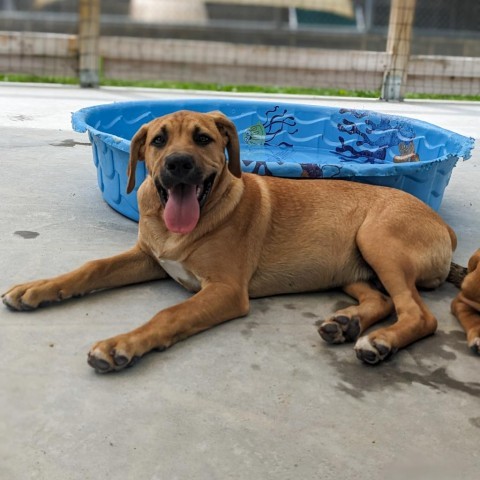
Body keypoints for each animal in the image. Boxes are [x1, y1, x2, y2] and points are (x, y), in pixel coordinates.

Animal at [0, 110, 468, 374]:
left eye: (204, 139)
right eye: (158, 141)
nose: (178, 164)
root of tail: (444, 227)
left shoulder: (225, 290)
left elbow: (169, 314)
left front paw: (122, 345)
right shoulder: (148, 257)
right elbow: (91, 267)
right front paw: (36, 289)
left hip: (379, 240)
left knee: (419, 314)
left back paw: (378, 341)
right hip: (350, 267)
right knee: (382, 299)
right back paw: (346, 323)